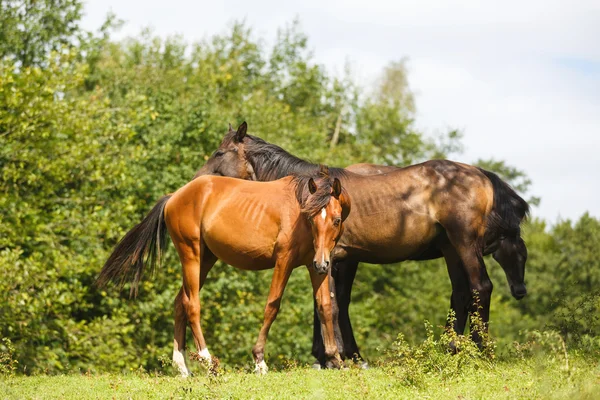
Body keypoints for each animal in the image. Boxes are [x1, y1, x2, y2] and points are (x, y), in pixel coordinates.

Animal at [98, 168, 352, 376]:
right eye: (311, 218)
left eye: (336, 219)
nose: (322, 263)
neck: (299, 210)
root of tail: (175, 196)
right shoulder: (284, 261)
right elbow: (272, 305)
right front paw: (259, 360)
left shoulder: (314, 265)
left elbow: (325, 306)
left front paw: (335, 359)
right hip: (191, 256)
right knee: (192, 305)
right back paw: (207, 360)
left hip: (206, 260)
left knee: (180, 302)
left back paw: (182, 367)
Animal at [195, 122, 528, 368]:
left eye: (219, 152)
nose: (197, 180)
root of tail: (482, 175)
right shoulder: (331, 260)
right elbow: (329, 303)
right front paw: (332, 357)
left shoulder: (332, 258)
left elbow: (329, 305)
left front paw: (334, 358)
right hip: (451, 249)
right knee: (460, 294)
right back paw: (450, 349)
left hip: (464, 243)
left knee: (480, 287)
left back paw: (480, 351)